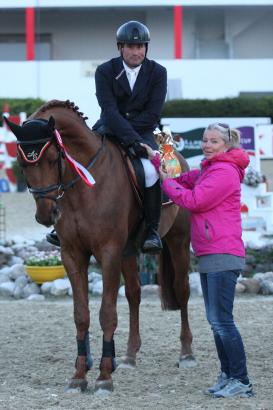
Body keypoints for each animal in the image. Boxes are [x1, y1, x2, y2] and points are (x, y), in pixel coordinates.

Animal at [4, 100, 196, 394]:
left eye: (53, 159)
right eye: (23, 163)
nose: (46, 215)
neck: (84, 184)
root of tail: (176, 156)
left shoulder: (108, 252)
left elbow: (107, 313)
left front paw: (104, 376)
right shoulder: (72, 254)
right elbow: (81, 314)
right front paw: (79, 374)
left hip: (178, 240)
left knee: (182, 291)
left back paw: (186, 354)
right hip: (129, 252)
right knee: (134, 294)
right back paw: (128, 356)